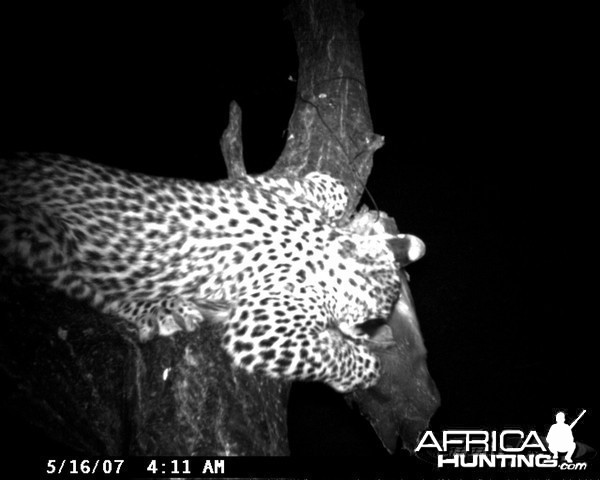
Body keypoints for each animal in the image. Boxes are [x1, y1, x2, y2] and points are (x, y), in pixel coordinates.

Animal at [0, 154, 422, 394]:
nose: (377, 335)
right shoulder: (260, 327)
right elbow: (322, 354)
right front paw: (365, 370)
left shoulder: (251, 186)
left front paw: (329, 187)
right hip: (43, 238)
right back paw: (159, 308)